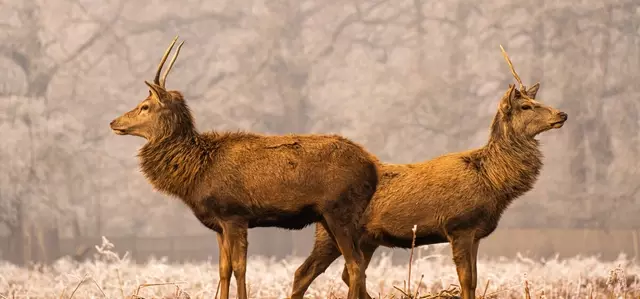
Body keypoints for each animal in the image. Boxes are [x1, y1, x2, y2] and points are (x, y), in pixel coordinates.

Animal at [288, 45, 568, 299]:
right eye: (525, 107)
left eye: (537, 101)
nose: (562, 113)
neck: (493, 182)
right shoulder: (459, 225)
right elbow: (466, 280)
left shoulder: (476, 233)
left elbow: (475, 281)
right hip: (330, 232)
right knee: (304, 272)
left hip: (366, 238)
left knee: (349, 273)